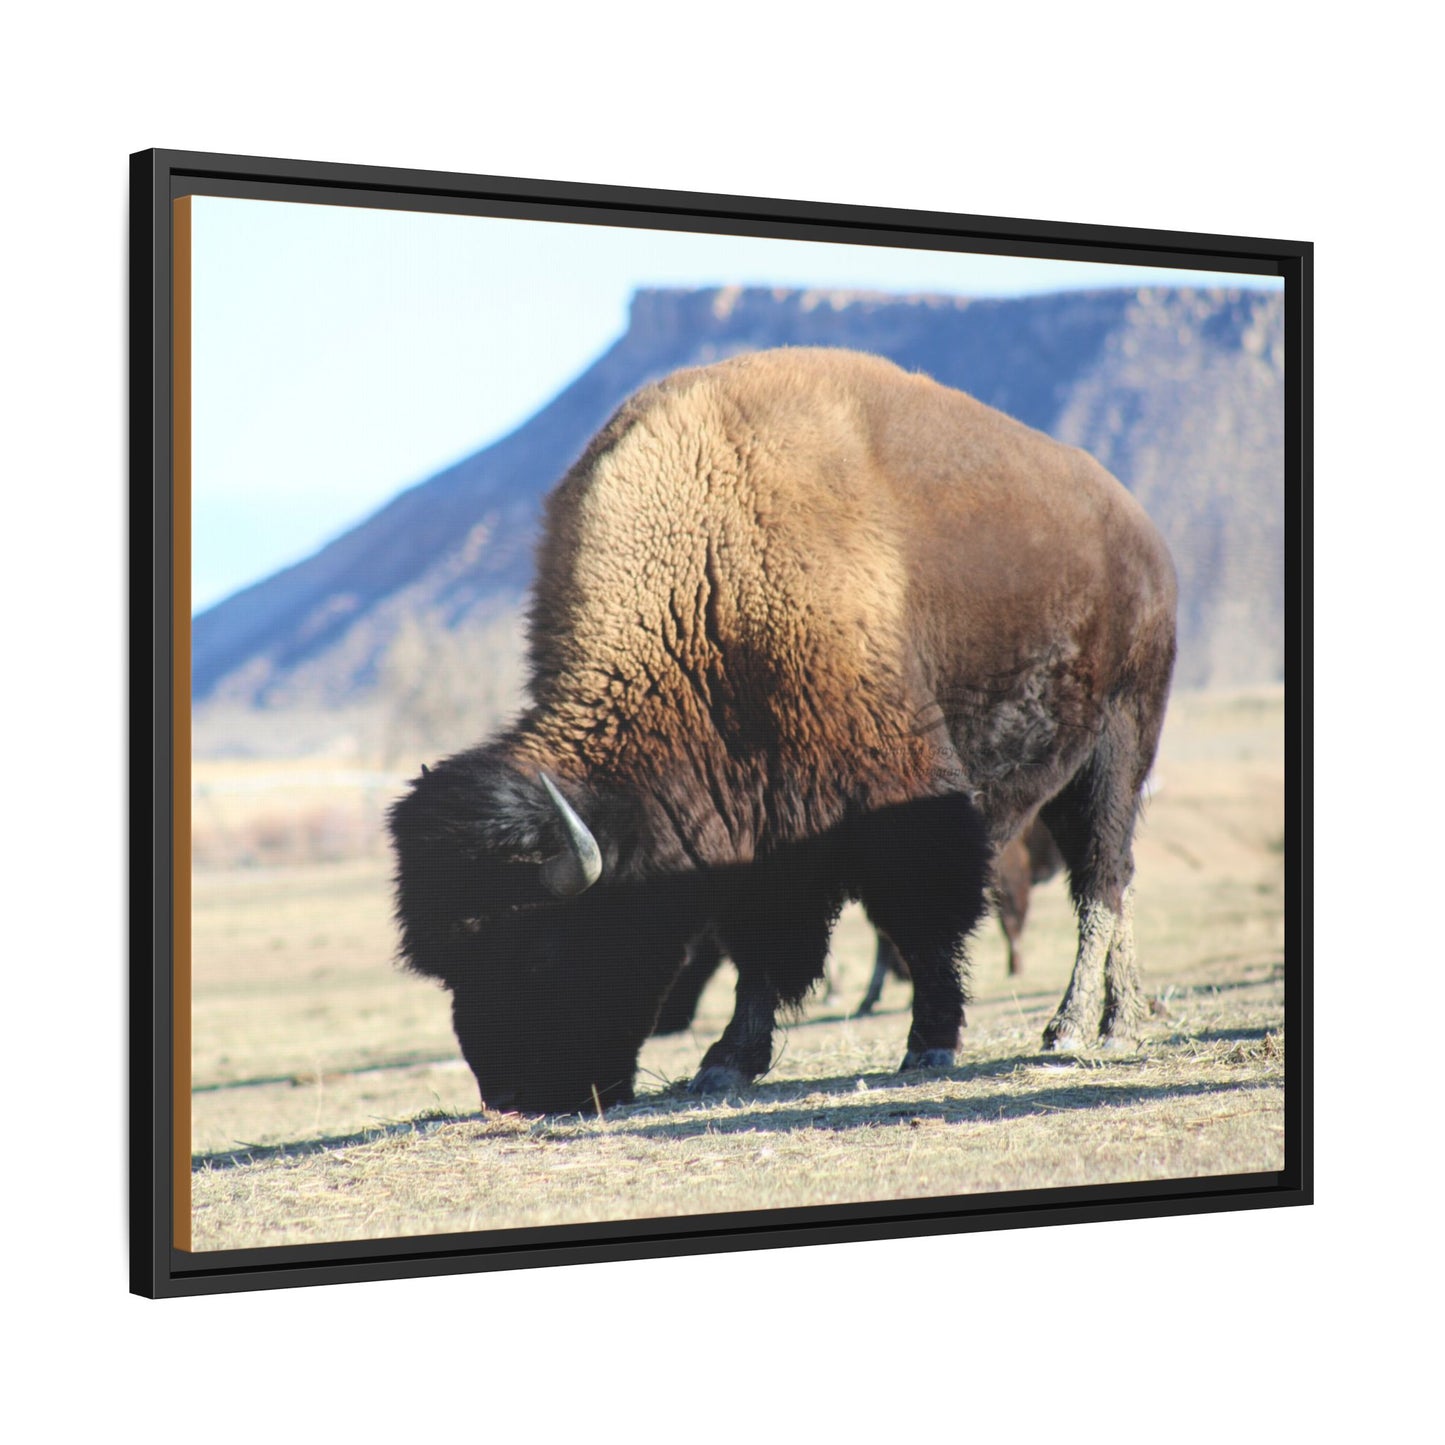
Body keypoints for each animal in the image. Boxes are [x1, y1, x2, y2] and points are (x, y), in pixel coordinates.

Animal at [389, 348, 1177, 1114]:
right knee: (1117, 880)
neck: (705, 585)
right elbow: (761, 948)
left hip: (1117, 746)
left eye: (539, 947)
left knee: (1101, 880)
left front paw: (929, 1043)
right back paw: (1121, 1017)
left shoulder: (898, 798)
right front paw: (726, 1062)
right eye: (449, 966)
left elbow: (920, 919)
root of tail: (1140, 531)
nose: (511, 1097)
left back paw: (1076, 1027)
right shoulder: (757, 829)